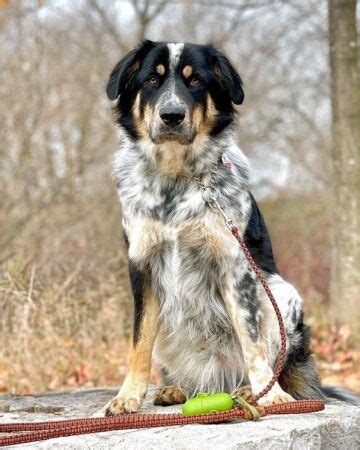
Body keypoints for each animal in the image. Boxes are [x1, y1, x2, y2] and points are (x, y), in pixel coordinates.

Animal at [103, 39, 358, 414]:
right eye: (152, 79)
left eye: (195, 81)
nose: (172, 115)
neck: (177, 178)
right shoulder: (143, 268)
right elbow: (139, 344)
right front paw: (128, 397)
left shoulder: (236, 268)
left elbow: (251, 340)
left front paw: (274, 396)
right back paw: (179, 389)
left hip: (280, 293)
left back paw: (258, 390)